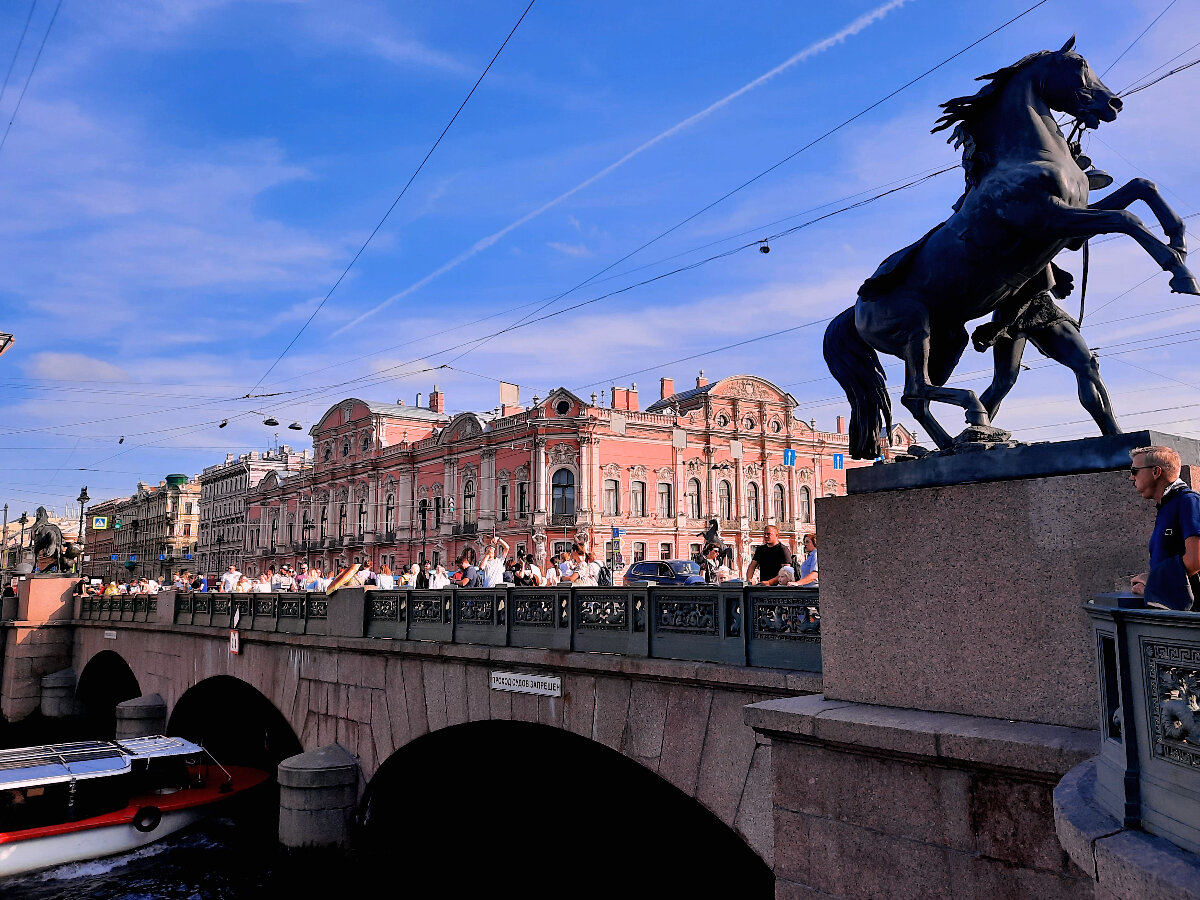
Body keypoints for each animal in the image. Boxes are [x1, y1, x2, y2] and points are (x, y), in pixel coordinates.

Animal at [825, 38, 1200, 458]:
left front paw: (1179, 240)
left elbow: (1141, 187)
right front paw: (1180, 272)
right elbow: (1127, 219)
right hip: (914, 329)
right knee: (916, 390)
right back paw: (971, 421)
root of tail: (855, 310)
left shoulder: (1070, 230)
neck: (1027, 158)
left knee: (919, 397)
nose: (1114, 104)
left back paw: (952, 445)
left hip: (949, 339)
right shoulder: (1050, 219)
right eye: (1078, 63)